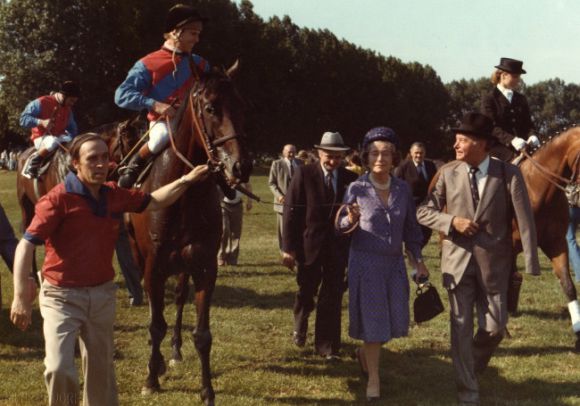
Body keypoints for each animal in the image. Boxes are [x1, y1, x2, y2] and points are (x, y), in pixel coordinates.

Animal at [127, 62, 251, 402]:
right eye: (210, 107)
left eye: (241, 105)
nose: (241, 167)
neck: (181, 195)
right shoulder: (153, 265)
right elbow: (156, 324)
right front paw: (150, 377)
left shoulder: (204, 265)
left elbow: (202, 334)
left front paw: (207, 391)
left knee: (180, 300)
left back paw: (174, 351)